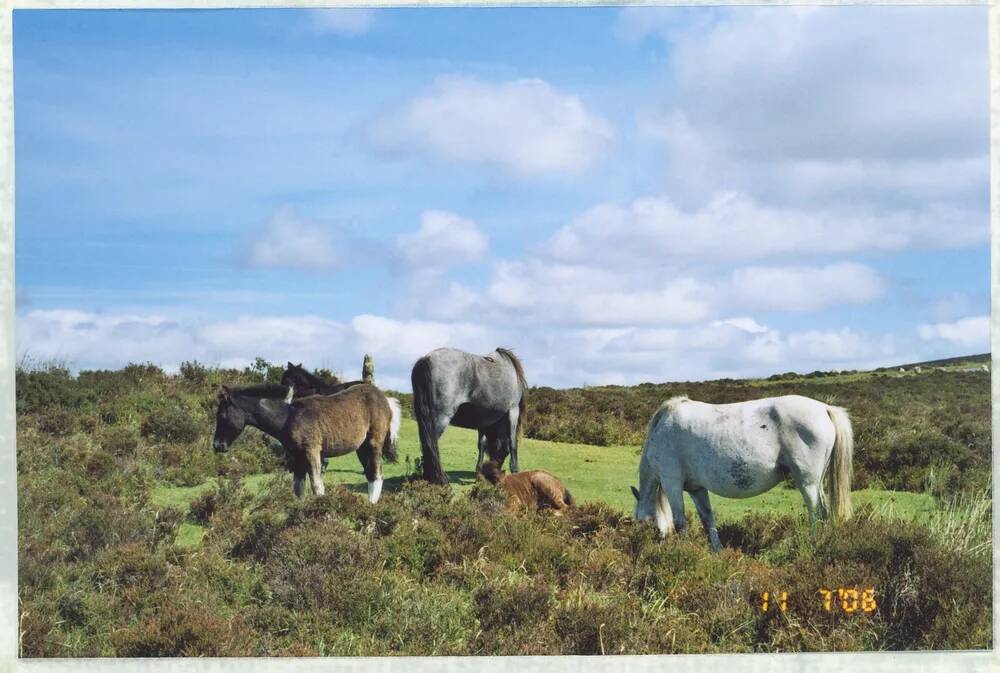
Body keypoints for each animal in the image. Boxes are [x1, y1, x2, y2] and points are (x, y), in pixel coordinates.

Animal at [213, 380, 400, 502]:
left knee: (376, 474)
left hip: (374, 442)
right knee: (370, 474)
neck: (288, 418)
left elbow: (317, 486)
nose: (217, 446)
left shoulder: (312, 451)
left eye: (221, 416)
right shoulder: (296, 456)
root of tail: (386, 399)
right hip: (361, 448)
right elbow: (298, 488)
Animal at [410, 346, 528, 484]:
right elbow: (512, 442)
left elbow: (481, 444)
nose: (495, 474)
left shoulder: (484, 420)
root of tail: (426, 359)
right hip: (440, 419)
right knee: (430, 446)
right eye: (505, 453)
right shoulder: (513, 410)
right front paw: (515, 470)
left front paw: (479, 473)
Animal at [632, 394, 852, 552]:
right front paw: (717, 551)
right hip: (817, 482)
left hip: (807, 483)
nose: (643, 543)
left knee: (815, 512)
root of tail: (825, 409)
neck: (662, 430)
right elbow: (707, 518)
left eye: (644, 524)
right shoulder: (697, 489)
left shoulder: (672, 483)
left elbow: (680, 522)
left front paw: (684, 550)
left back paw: (814, 542)